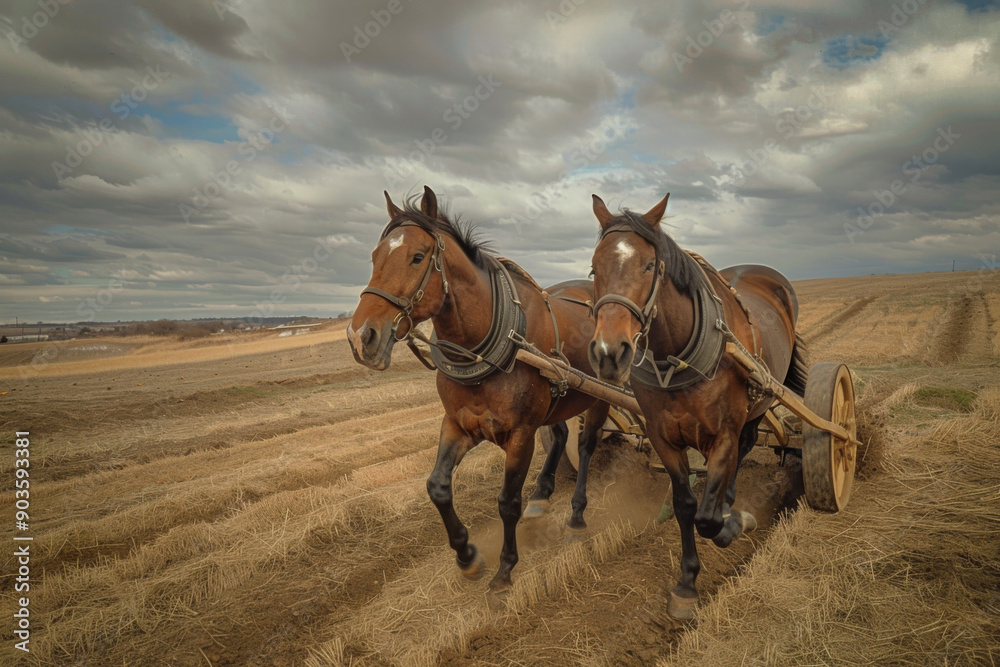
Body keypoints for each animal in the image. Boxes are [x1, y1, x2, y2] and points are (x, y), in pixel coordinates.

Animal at [347, 186, 611, 597]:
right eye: (375, 256)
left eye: (417, 257)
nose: (361, 337)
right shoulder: (458, 424)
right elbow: (437, 487)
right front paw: (467, 556)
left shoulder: (520, 435)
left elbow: (507, 502)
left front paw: (505, 569)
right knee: (560, 434)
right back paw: (542, 495)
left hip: (600, 397)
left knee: (585, 446)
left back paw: (577, 515)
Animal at [587, 193, 808, 619]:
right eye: (593, 268)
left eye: (650, 264)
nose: (609, 353)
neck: (677, 358)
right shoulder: (663, 439)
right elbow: (686, 505)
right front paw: (687, 583)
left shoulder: (722, 433)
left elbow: (707, 518)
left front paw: (733, 523)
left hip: (759, 401)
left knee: (746, 445)